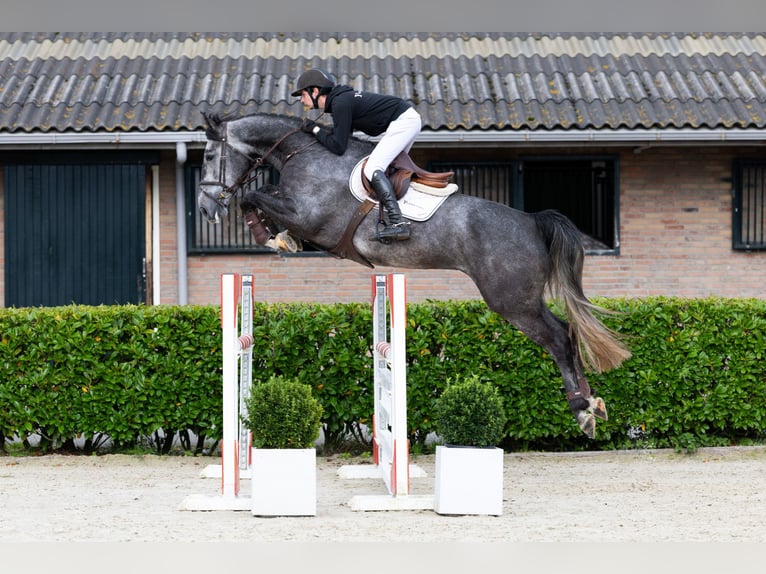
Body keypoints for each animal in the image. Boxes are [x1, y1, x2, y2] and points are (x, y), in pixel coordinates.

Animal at [197, 111, 632, 438]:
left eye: (207, 155)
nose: (204, 209)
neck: (301, 155)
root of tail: (532, 221)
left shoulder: (312, 219)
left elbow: (254, 196)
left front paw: (272, 237)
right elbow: (260, 198)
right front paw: (278, 237)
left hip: (512, 300)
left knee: (559, 337)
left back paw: (582, 410)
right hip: (519, 299)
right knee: (568, 334)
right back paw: (593, 406)